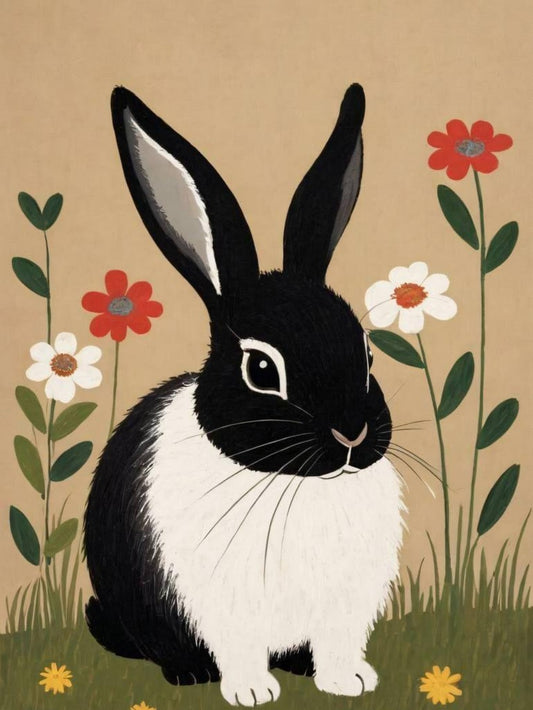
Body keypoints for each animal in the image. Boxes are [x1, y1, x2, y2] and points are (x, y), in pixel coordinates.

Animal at [84, 83, 404, 706]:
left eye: (368, 354)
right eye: (260, 369)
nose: (352, 433)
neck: (298, 485)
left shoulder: (344, 611)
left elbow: (336, 647)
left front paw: (350, 682)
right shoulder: (221, 608)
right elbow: (238, 650)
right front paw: (252, 693)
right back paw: (191, 674)